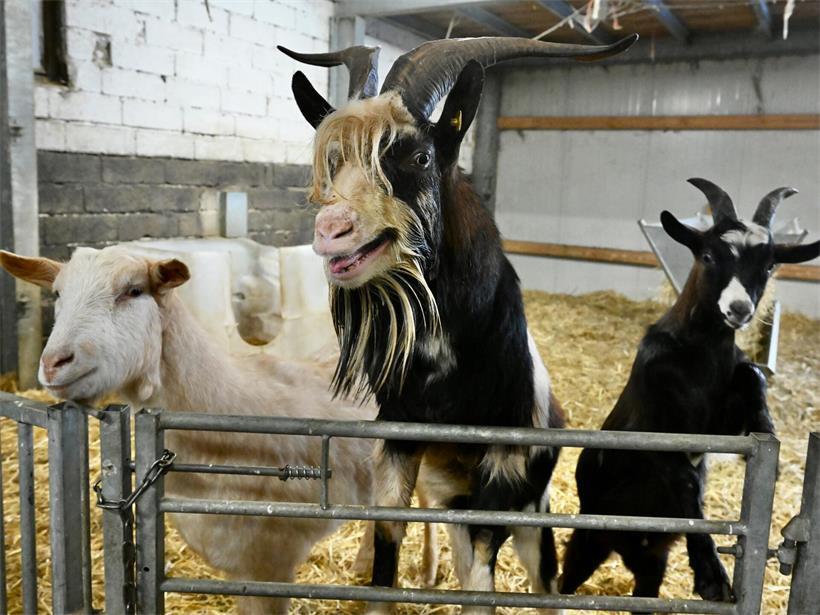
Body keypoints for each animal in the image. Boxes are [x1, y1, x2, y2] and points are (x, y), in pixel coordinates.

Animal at [0, 245, 439, 614]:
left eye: (133, 291)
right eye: (57, 293)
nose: (55, 363)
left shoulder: (271, 561)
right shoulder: (240, 564)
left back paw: (426, 572)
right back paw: (368, 562)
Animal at [281, 35, 637, 613]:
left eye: (420, 156)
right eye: (336, 161)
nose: (332, 230)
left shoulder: (502, 464)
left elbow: (482, 579)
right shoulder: (400, 436)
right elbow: (389, 538)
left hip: (527, 506)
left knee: (538, 574)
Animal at [559, 179, 820, 610]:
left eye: (768, 264)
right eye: (709, 255)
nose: (739, 308)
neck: (701, 359)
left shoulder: (721, 422)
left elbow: (751, 375)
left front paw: (768, 432)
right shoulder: (660, 433)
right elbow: (686, 483)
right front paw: (712, 578)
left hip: (652, 560)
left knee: (644, 589)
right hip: (591, 536)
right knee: (565, 578)